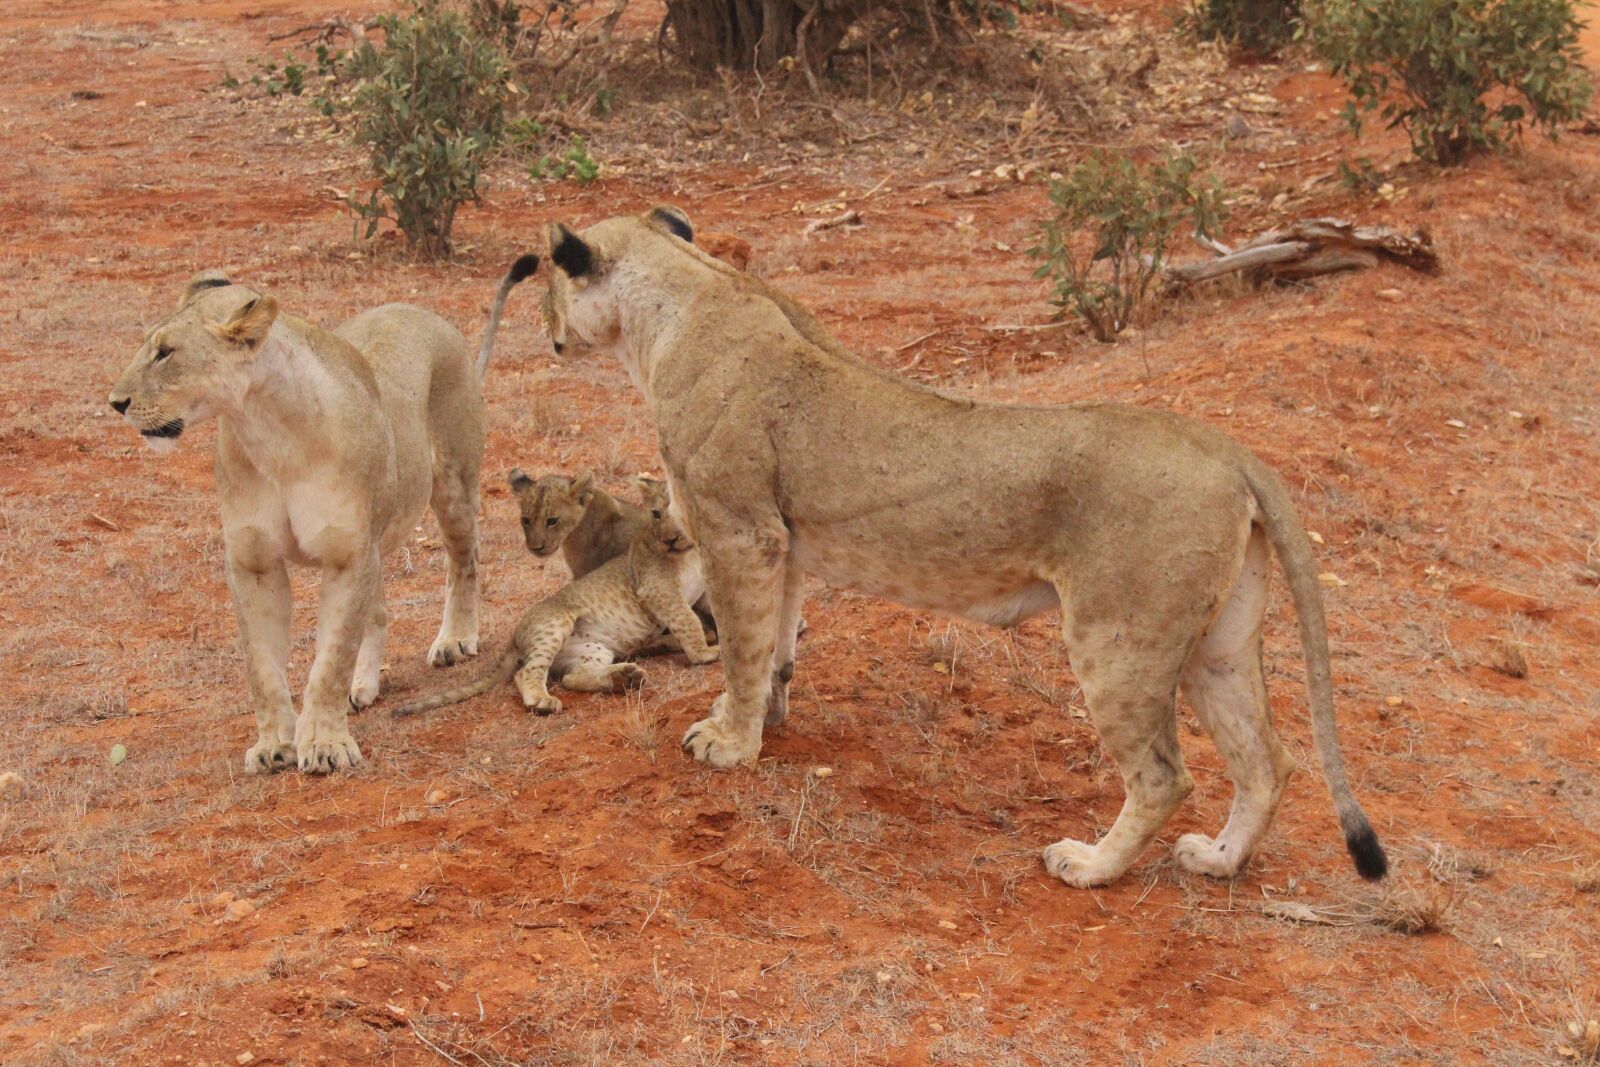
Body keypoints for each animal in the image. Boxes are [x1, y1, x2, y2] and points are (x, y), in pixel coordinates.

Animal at [108, 255, 538, 774]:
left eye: (166, 352)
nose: (115, 403)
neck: (270, 433)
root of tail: (421, 312)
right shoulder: (254, 562)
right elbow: (263, 667)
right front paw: (275, 744)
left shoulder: (347, 555)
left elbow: (329, 661)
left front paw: (326, 745)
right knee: (378, 611)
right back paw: (364, 685)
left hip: (452, 487)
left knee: (464, 560)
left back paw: (454, 639)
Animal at [389, 478, 717, 718]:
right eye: (656, 514)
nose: (670, 540)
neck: (689, 552)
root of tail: (515, 636)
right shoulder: (655, 589)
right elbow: (688, 620)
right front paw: (705, 653)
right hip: (555, 625)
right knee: (528, 672)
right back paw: (543, 701)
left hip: (590, 649)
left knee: (573, 677)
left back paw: (623, 678)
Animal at [535, 206, 1390, 889]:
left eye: (544, 282)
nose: (547, 333)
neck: (680, 301)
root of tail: (1226, 447)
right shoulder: (782, 541)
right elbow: (774, 645)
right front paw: (760, 718)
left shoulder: (737, 528)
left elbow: (742, 647)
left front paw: (729, 743)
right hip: (1215, 644)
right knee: (1269, 761)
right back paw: (1216, 859)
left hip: (1120, 638)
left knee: (1162, 776)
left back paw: (1088, 864)